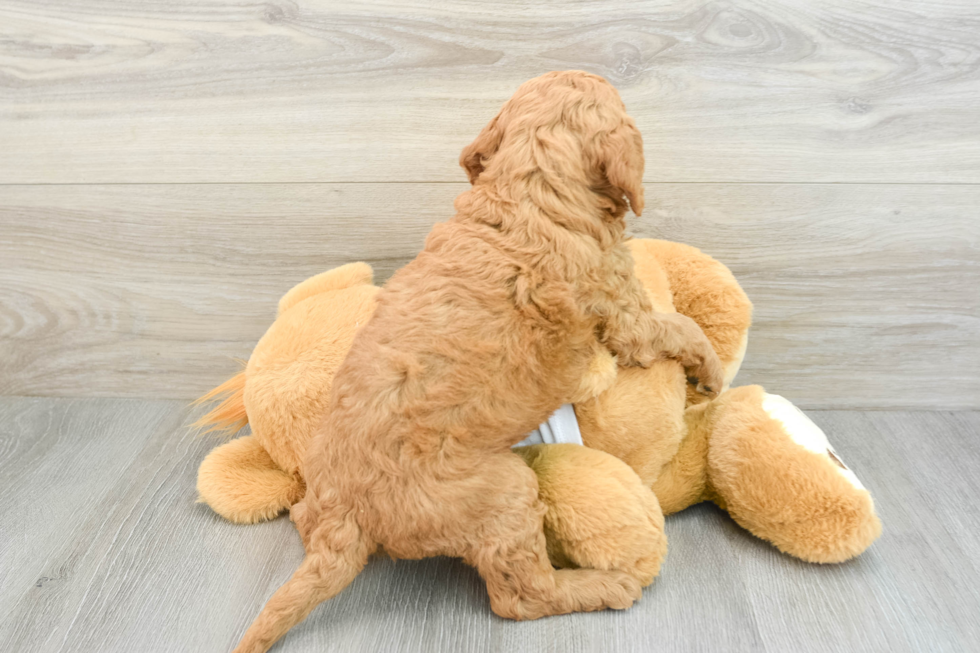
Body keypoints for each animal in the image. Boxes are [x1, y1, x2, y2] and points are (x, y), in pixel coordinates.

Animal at [230, 71, 720, 652]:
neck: (528, 191)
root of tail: (345, 521)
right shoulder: (624, 313)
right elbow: (680, 327)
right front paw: (710, 372)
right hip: (506, 494)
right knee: (521, 596)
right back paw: (603, 585)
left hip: (324, 491)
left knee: (301, 513)